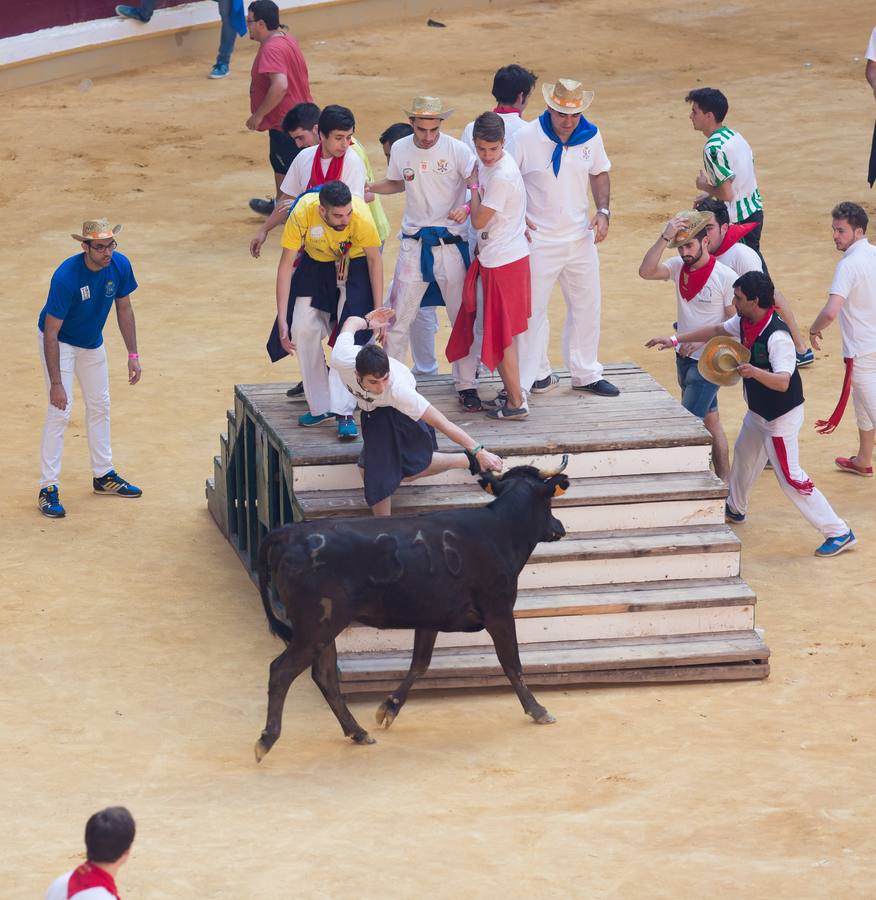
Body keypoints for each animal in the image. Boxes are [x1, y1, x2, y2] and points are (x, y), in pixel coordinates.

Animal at [255, 458, 568, 760]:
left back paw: (358, 732)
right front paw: (538, 711)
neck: (500, 530)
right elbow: (512, 663)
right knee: (281, 671)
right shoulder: (499, 611)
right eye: (549, 502)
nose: (560, 527)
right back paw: (267, 740)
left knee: (325, 677)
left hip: (325, 629)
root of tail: (290, 533)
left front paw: (389, 707)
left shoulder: (430, 617)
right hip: (316, 626)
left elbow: (419, 663)